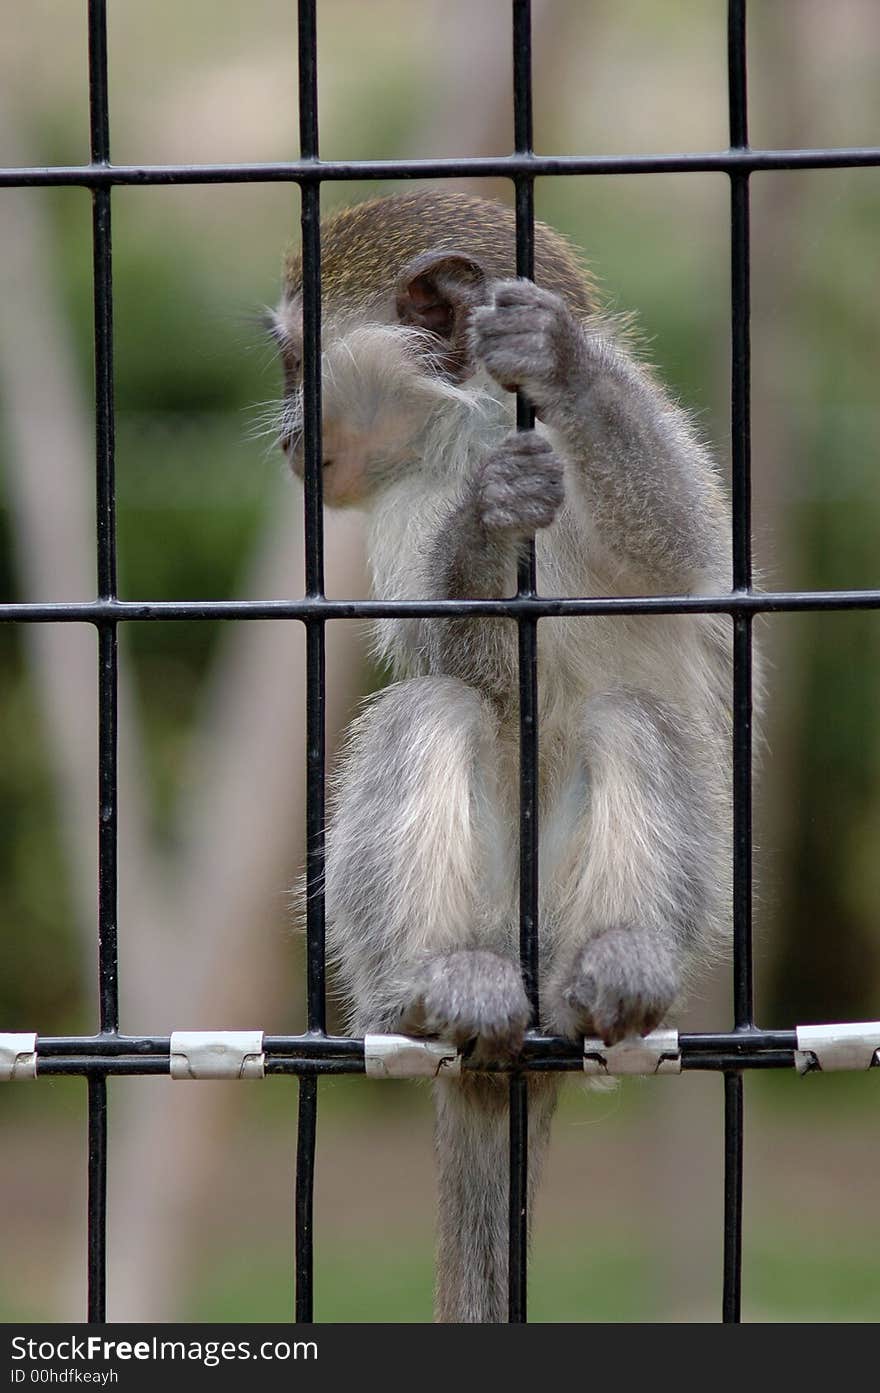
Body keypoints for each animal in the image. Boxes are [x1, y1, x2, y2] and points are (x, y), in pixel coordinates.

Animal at [271, 190, 729, 1320]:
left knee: (631, 716)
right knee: (428, 710)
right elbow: (458, 662)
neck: (466, 422)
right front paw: (484, 521)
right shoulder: (397, 507)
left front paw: (558, 359)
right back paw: (442, 985)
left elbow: (678, 549)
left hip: (567, 917)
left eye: (296, 362)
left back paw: (618, 965)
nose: (286, 434)